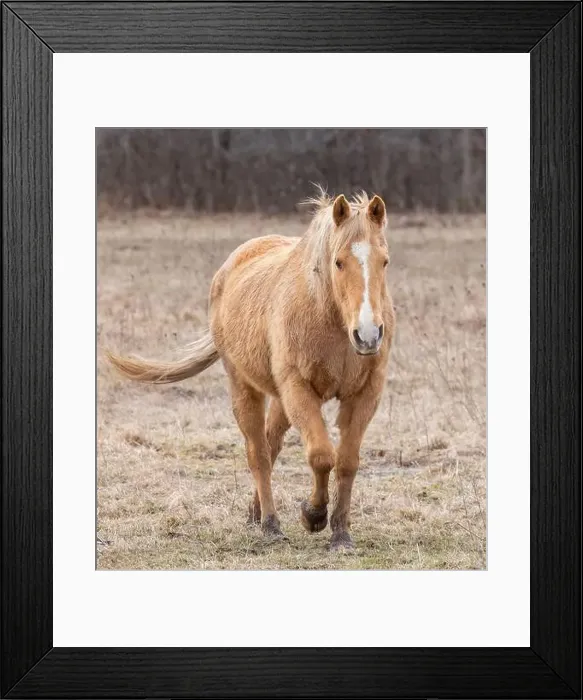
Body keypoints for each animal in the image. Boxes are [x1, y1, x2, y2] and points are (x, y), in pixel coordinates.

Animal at [107, 190, 396, 550]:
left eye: (384, 261)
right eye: (339, 262)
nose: (368, 335)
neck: (330, 319)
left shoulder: (364, 394)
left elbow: (346, 461)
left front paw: (340, 533)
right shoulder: (299, 390)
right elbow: (320, 456)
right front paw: (312, 515)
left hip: (281, 400)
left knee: (271, 446)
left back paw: (255, 514)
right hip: (245, 388)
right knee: (258, 453)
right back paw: (270, 524)